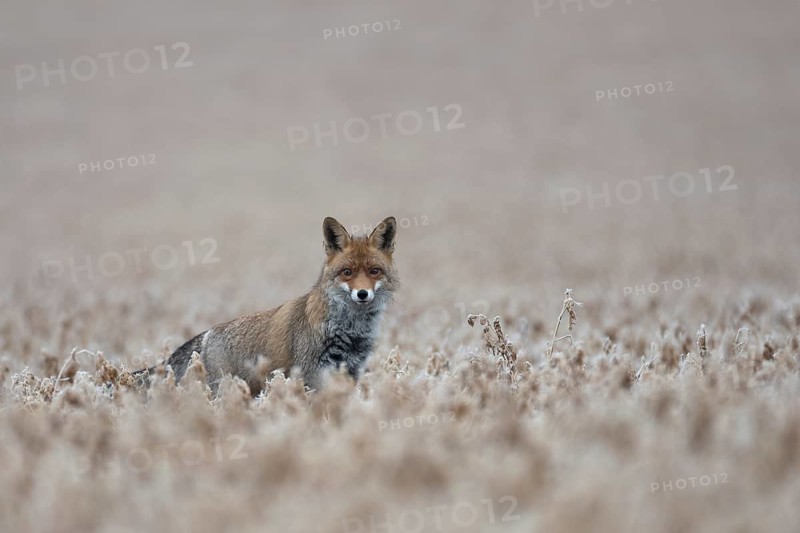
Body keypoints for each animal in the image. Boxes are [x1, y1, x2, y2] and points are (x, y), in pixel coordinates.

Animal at [133, 216, 398, 394]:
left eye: (374, 271)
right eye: (347, 272)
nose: (362, 294)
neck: (350, 329)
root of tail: (207, 334)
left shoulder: (351, 371)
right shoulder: (312, 374)